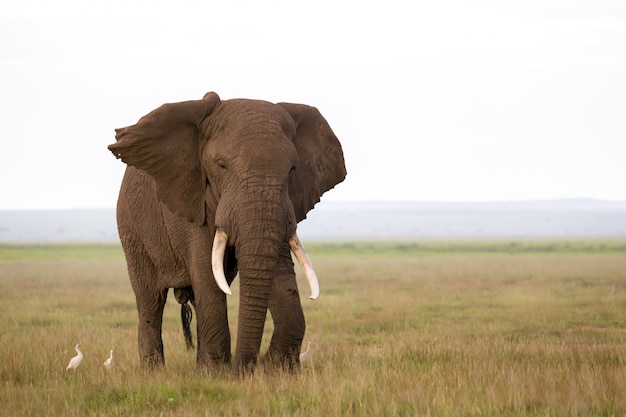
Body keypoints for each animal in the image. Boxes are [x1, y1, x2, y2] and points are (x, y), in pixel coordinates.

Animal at [109, 92, 348, 372]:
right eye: (222, 166)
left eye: (292, 169)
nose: (245, 369)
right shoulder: (190, 199)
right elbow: (206, 272)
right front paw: (219, 374)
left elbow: (277, 268)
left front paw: (277, 370)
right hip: (131, 229)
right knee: (150, 299)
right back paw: (154, 372)